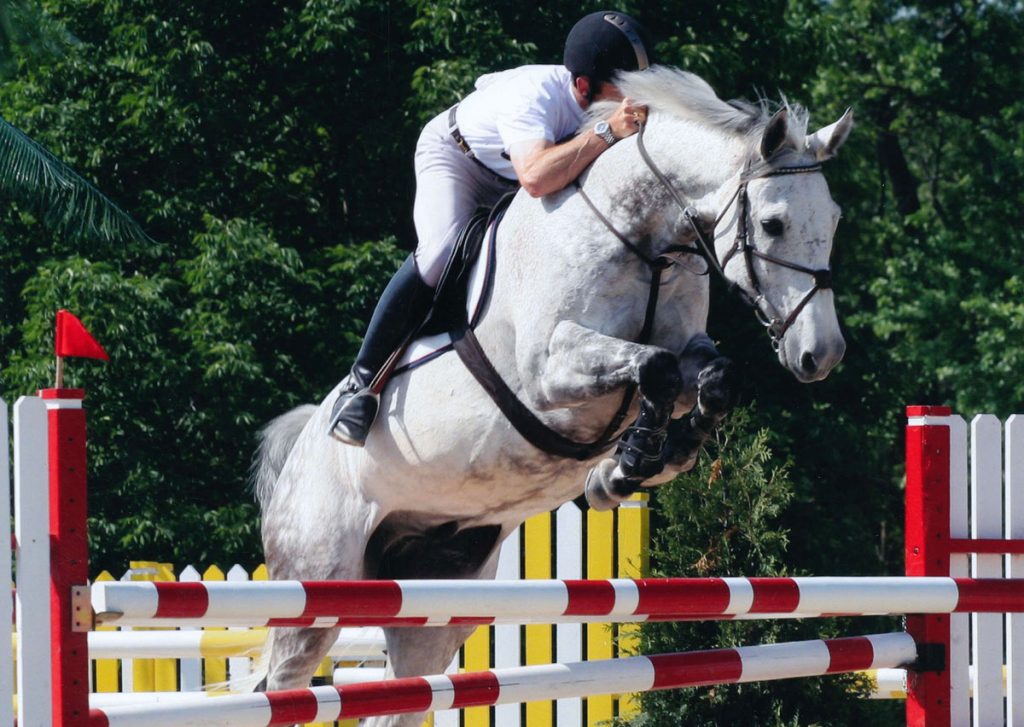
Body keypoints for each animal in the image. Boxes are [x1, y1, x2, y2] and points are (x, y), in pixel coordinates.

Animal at [251, 65, 851, 724]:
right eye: (773, 223)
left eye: (834, 220)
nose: (822, 355)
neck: (644, 242)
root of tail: (298, 453)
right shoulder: (548, 371)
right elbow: (656, 368)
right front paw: (630, 462)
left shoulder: (682, 351)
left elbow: (711, 376)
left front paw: (649, 461)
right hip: (316, 585)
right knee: (285, 681)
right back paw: (354, 407)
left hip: (434, 601)